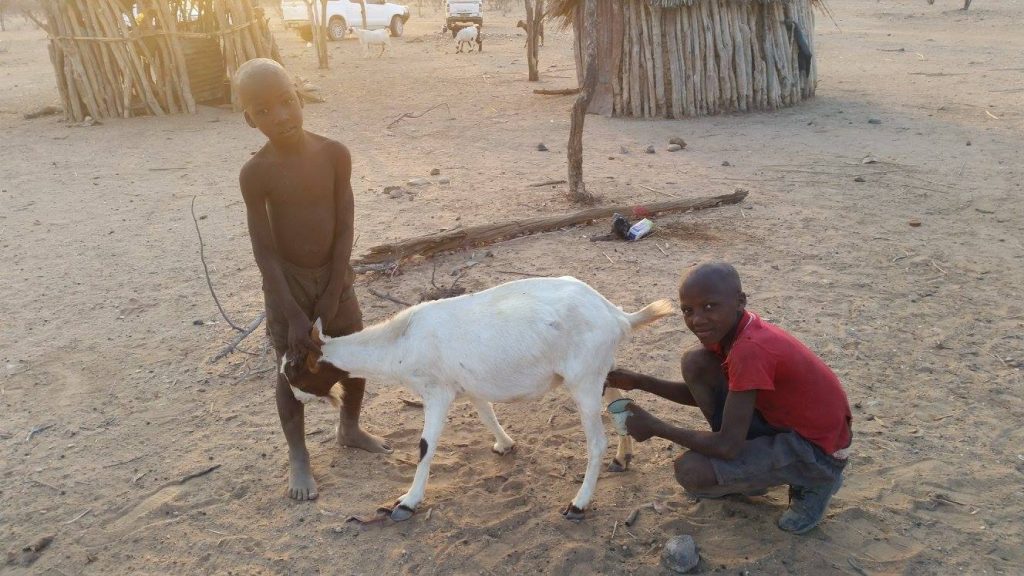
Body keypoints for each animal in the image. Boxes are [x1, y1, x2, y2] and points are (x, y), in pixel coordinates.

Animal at [296, 276, 675, 522]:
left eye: (295, 369)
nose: (296, 394)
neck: (402, 340)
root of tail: (617, 315)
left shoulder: (436, 391)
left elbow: (425, 447)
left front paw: (407, 502)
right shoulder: (468, 385)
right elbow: (486, 413)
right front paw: (505, 445)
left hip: (583, 379)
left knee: (596, 441)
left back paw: (579, 504)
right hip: (600, 368)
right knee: (619, 402)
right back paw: (623, 459)